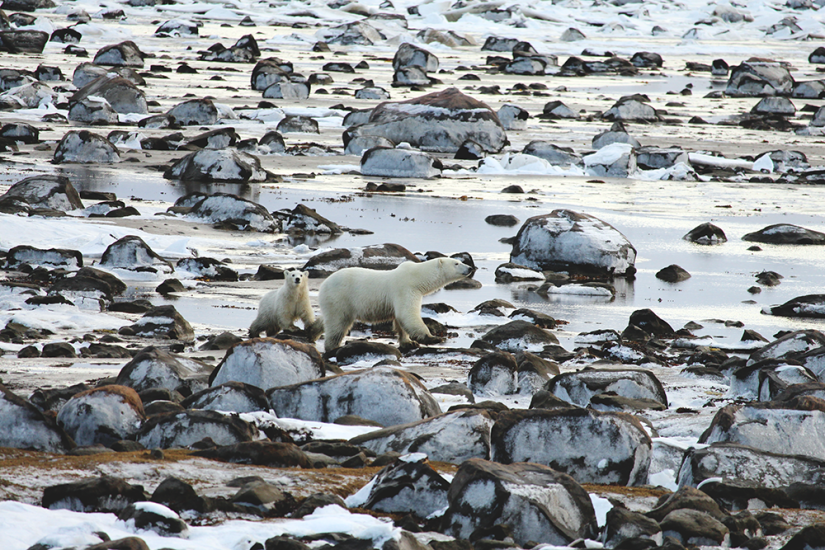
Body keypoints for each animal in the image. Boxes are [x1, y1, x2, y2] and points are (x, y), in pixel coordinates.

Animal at [318, 257, 475, 351]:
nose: (470, 268)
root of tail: (323, 285)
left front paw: (409, 342)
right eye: (456, 263)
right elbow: (407, 314)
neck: (417, 278)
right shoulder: (406, 289)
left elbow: (400, 321)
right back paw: (333, 347)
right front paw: (434, 338)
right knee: (337, 323)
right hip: (339, 298)